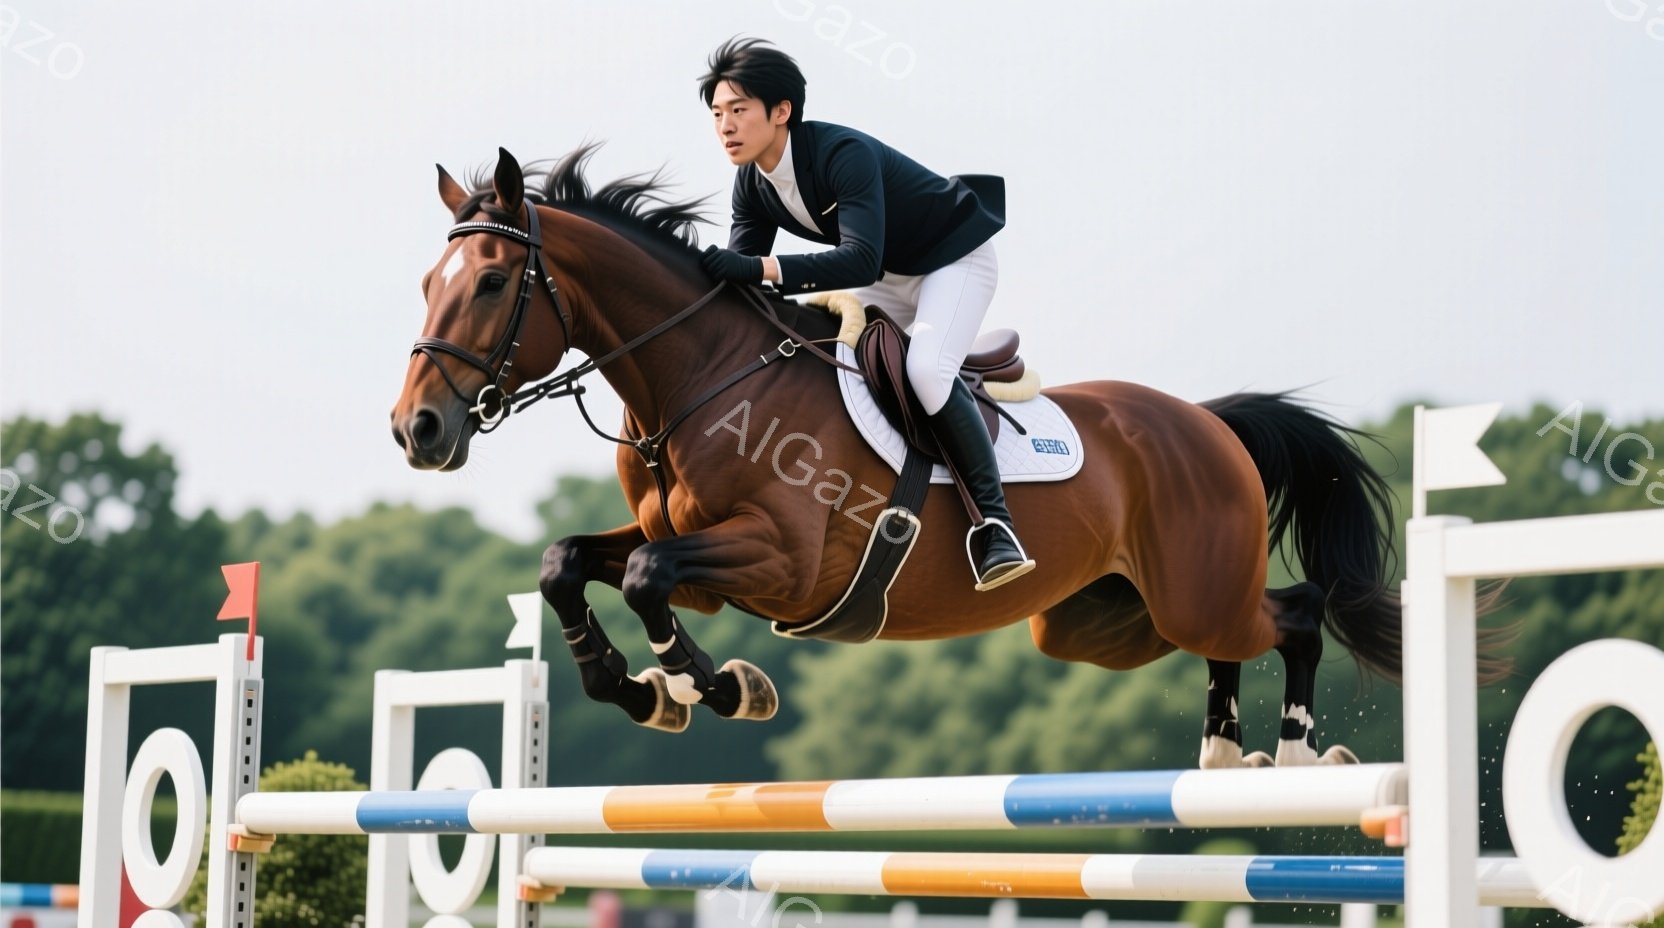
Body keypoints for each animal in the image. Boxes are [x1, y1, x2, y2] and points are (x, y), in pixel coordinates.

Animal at [391, 147, 1468, 769]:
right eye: (427, 280)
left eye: (492, 283)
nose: (417, 431)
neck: (698, 376)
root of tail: (1206, 424)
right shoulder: (695, 560)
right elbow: (568, 562)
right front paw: (641, 688)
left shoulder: (780, 562)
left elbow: (650, 575)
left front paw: (719, 685)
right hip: (1097, 621)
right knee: (1234, 638)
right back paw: (1220, 754)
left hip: (1190, 591)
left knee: (1294, 614)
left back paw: (1291, 757)